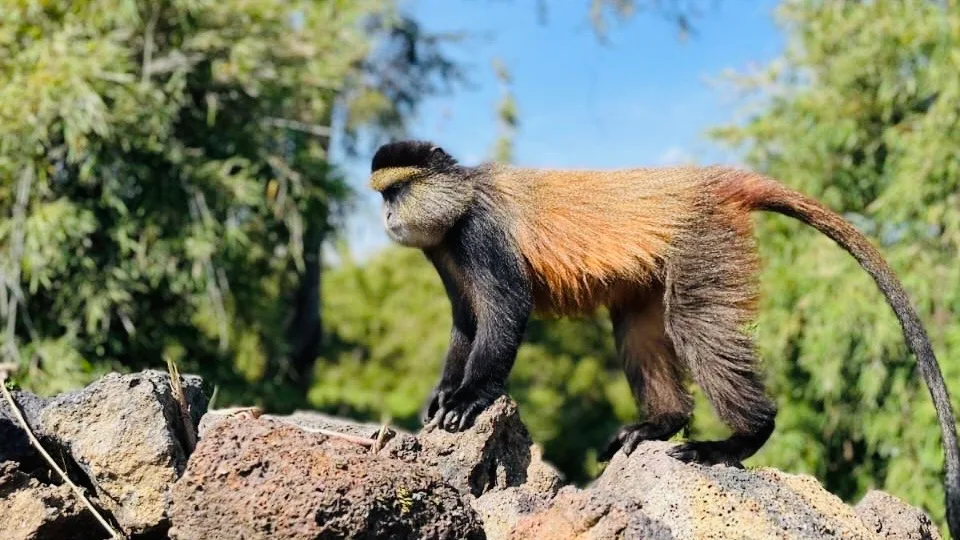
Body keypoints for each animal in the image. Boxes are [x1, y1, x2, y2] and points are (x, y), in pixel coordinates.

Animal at [368, 140, 960, 537]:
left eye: (397, 189)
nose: (388, 215)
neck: (462, 198)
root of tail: (703, 182)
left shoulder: (481, 234)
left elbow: (503, 312)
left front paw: (469, 398)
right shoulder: (444, 250)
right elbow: (466, 322)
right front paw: (445, 395)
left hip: (704, 242)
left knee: (694, 321)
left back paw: (740, 438)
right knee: (637, 327)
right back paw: (662, 422)